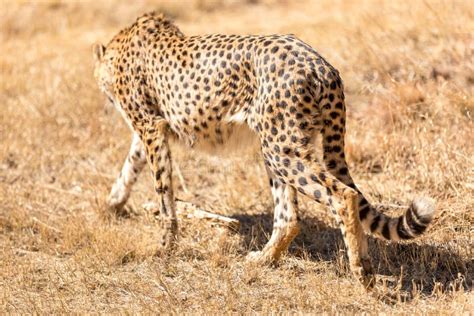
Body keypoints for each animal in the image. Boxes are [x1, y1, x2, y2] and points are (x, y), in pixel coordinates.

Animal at [92, 12, 436, 288]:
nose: (104, 98)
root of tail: (322, 65)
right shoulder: (150, 131)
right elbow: (130, 166)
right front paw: (111, 204)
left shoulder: (151, 126)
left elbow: (163, 194)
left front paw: (164, 247)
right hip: (282, 145)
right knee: (290, 216)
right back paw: (266, 259)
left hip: (280, 148)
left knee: (343, 196)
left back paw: (361, 272)